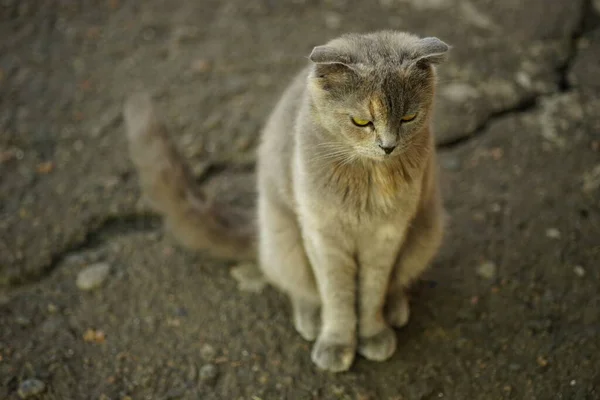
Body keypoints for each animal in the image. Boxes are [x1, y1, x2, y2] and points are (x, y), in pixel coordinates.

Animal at [124, 30, 448, 372]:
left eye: (409, 117)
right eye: (361, 121)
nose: (388, 146)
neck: (369, 179)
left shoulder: (387, 236)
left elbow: (372, 291)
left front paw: (373, 334)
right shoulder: (323, 237)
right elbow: (336, 296)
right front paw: (336, 345)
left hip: (425, 231)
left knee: (397, 281)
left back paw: (395, 309)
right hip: (284, 241)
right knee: (300, 288)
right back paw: (311, 320)